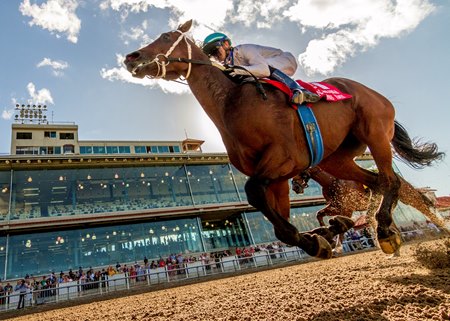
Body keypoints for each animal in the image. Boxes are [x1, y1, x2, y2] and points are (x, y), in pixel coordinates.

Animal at [122, 20, 442, 258]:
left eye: (165, 36)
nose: (131, 58)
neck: (232, 103)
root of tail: (375, 93)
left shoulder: (284, 159)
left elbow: (253, 192)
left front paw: (318, 237)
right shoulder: (277, 177)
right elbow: (280, 222)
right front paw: (317, 240)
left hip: (375, 134)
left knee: (391, 181)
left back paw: (387, 229)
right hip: (338, 158)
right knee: (375, 182)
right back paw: (374, 226)